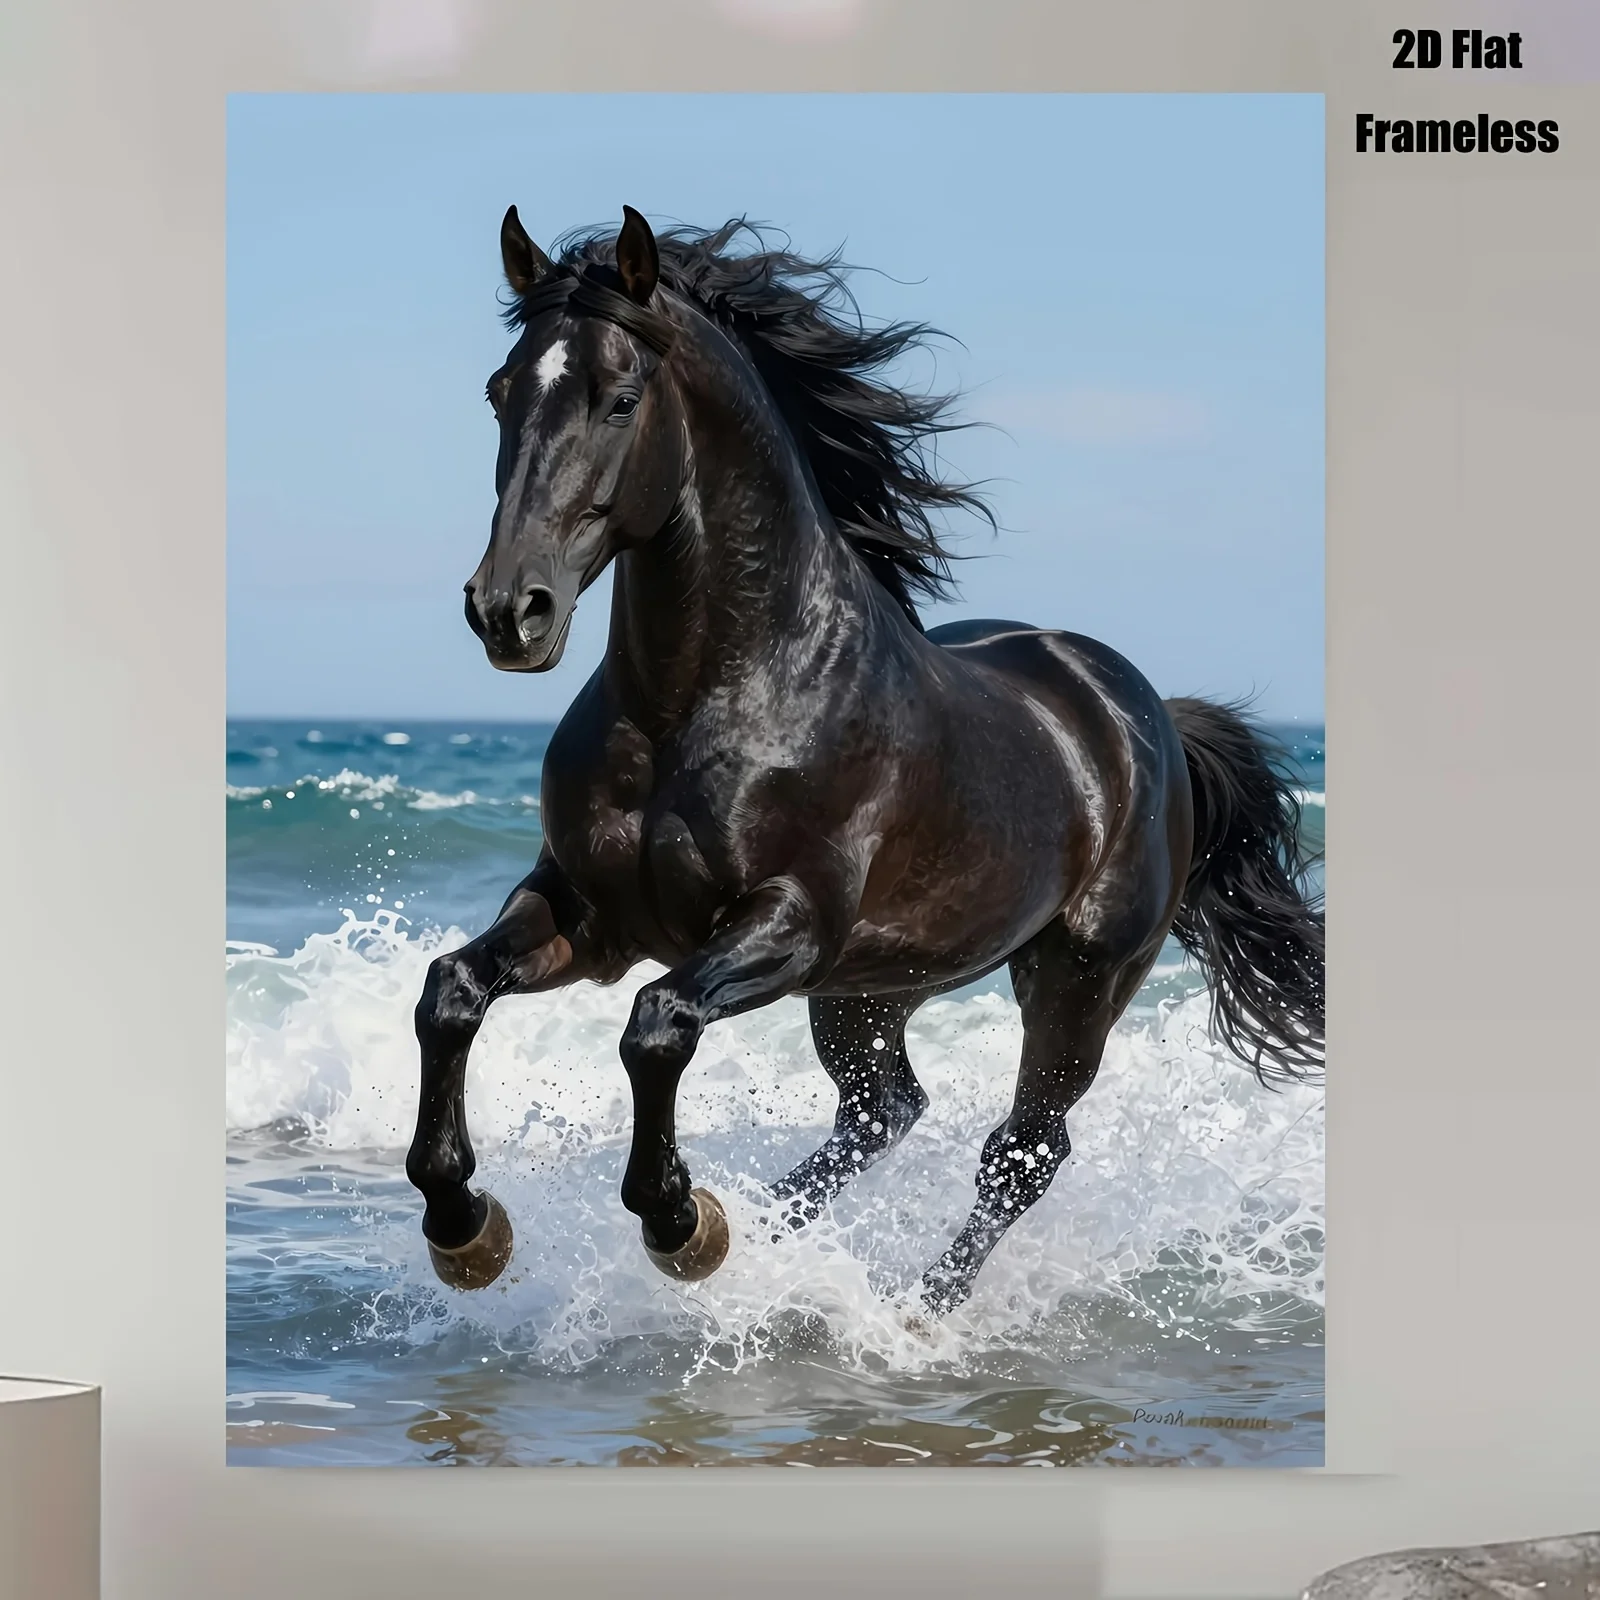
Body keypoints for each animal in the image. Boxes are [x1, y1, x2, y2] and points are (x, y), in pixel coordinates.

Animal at [404, 204, 1325, 1316]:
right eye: (501, 391)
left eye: (620, 398)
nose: (510, 611)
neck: (702, 701)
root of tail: (1139, 707)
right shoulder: (590, 916)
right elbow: (451, 990)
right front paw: (463, 1226)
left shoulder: (788, 925)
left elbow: (656, 1023)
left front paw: (678, 1223)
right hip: (874, 987)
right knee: (884, 1108)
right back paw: (771, 1234)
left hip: (1076, 979)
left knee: (1021, 1150)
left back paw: (917, 1313)